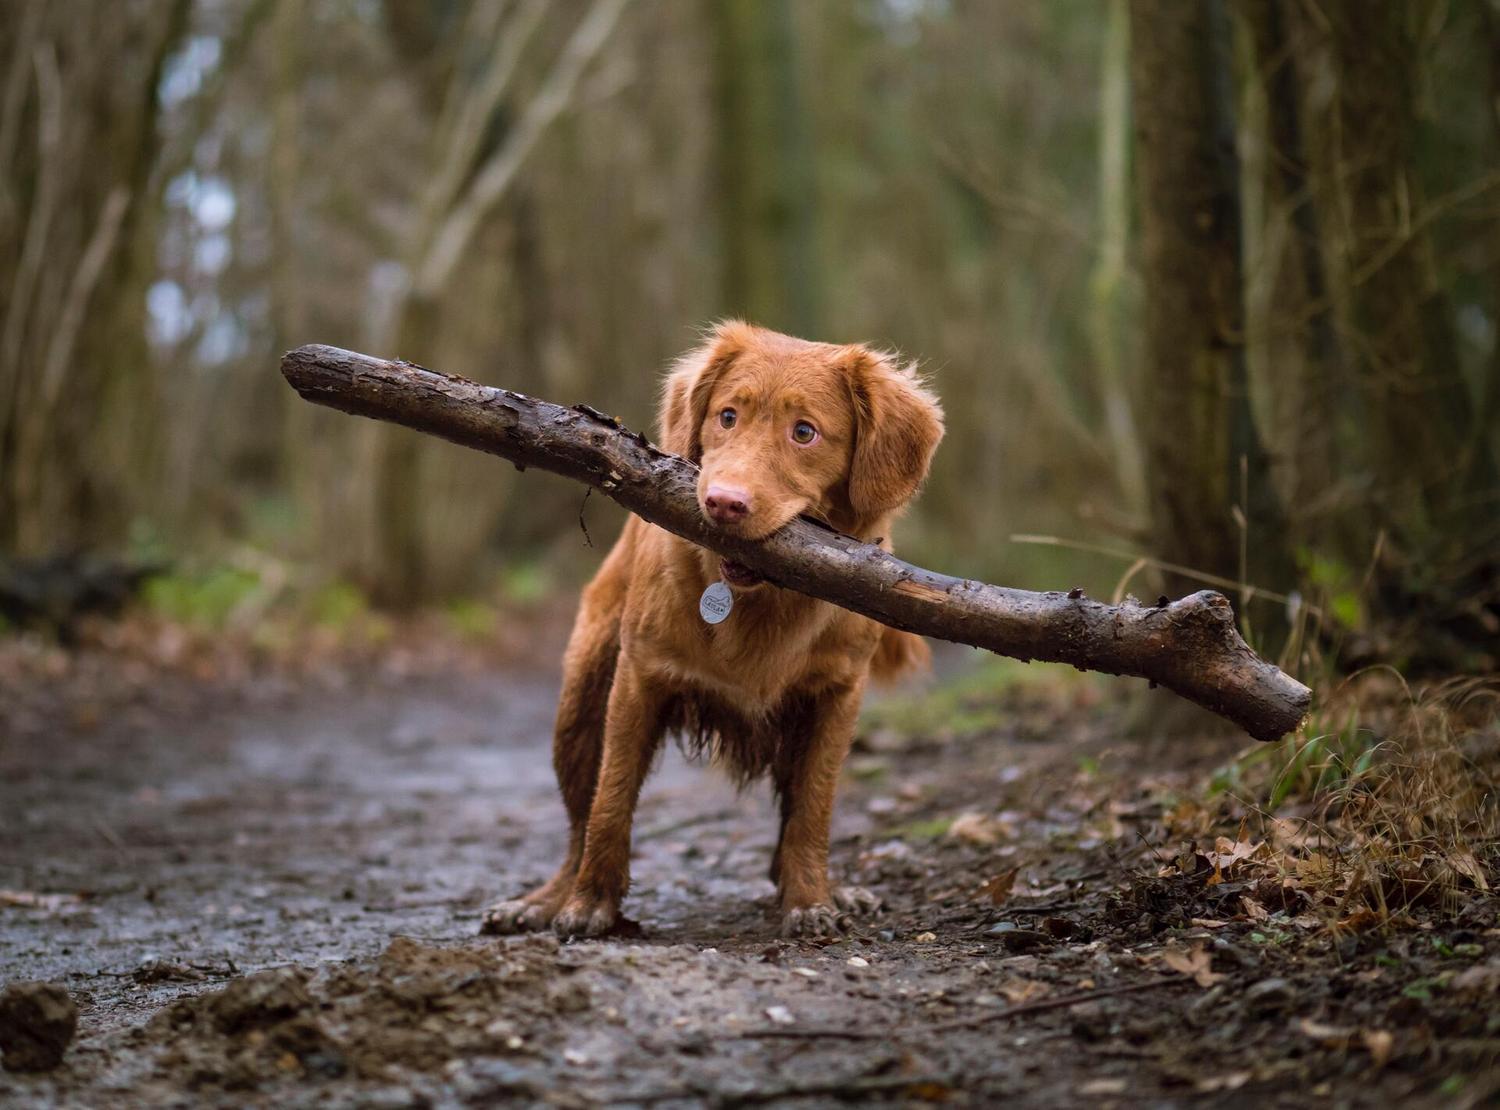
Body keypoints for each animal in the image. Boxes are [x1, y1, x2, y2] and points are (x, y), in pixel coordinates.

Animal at [486, 321, 942, 936]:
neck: (761, 601)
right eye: (728, 416)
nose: (724, 503)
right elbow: (611, 800)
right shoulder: (638, 678)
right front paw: (590, 904)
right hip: (580, 703)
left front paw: (811, 900)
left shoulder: (837, 696)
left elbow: (813, 808)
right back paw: (546, 900)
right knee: (579, 820)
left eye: (805, 432)